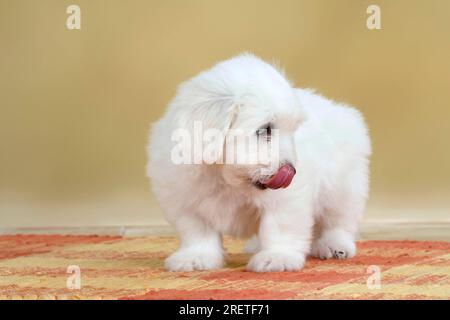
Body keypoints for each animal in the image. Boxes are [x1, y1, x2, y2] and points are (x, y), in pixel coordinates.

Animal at [146, 53, 370, 272]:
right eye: (265, 129)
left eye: (293, 130)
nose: (291, 170)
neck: (227, 180)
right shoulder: (186, 200)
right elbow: (197, 231)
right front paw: (195, 257)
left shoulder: (286, 199)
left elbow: (278, 226)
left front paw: (277, 257)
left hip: (342, 187)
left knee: (338, 220)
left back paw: (335, 245)